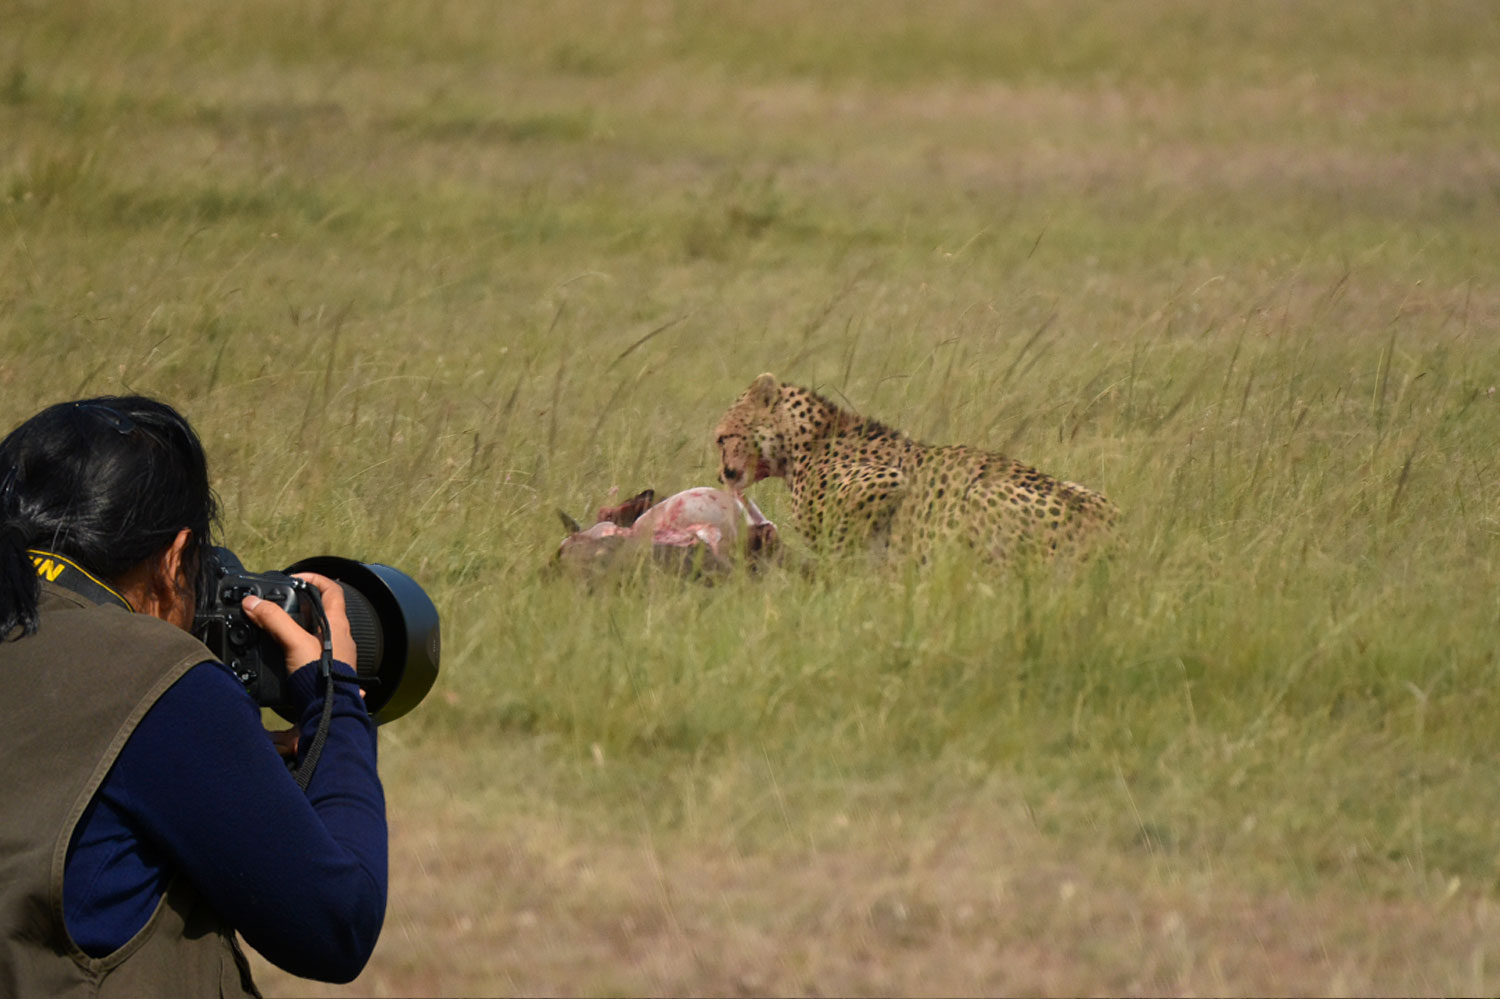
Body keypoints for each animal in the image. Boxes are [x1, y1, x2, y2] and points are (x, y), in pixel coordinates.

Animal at [711, 373, 1116, 561]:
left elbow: (839, 549)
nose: (723, 474)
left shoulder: (885, 480)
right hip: (1094, 495)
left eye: (721, 438)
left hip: (980, 497)